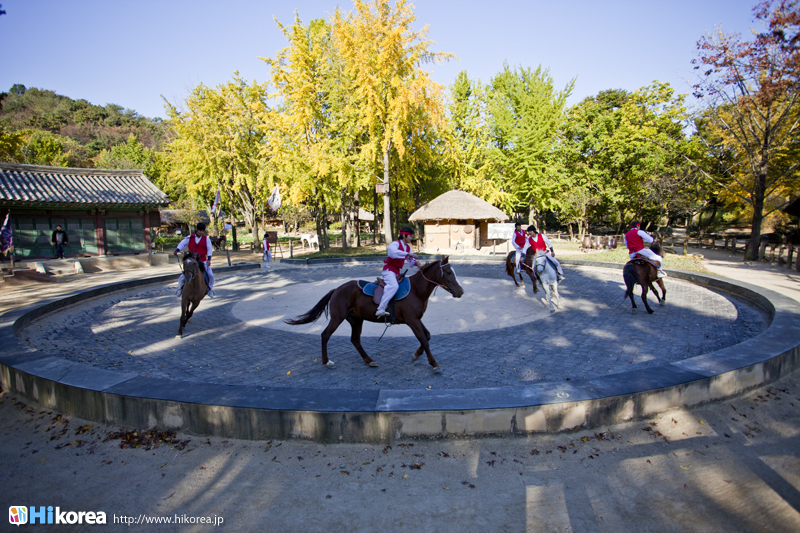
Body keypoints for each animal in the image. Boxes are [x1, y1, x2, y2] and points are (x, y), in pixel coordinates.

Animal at [285, 257, 464, 373]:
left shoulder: (416, 320)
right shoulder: (412, 321)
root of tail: (336, 289)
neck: (416, 289)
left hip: (356, 320)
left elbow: (427, 336)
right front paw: (434, 364)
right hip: (338, 318)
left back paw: (369, 360)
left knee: (355, 340)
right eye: (448, 272)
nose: (460, 291)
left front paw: (416, 355)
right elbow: (424, 340)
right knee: (325, 335)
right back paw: (326, 361)